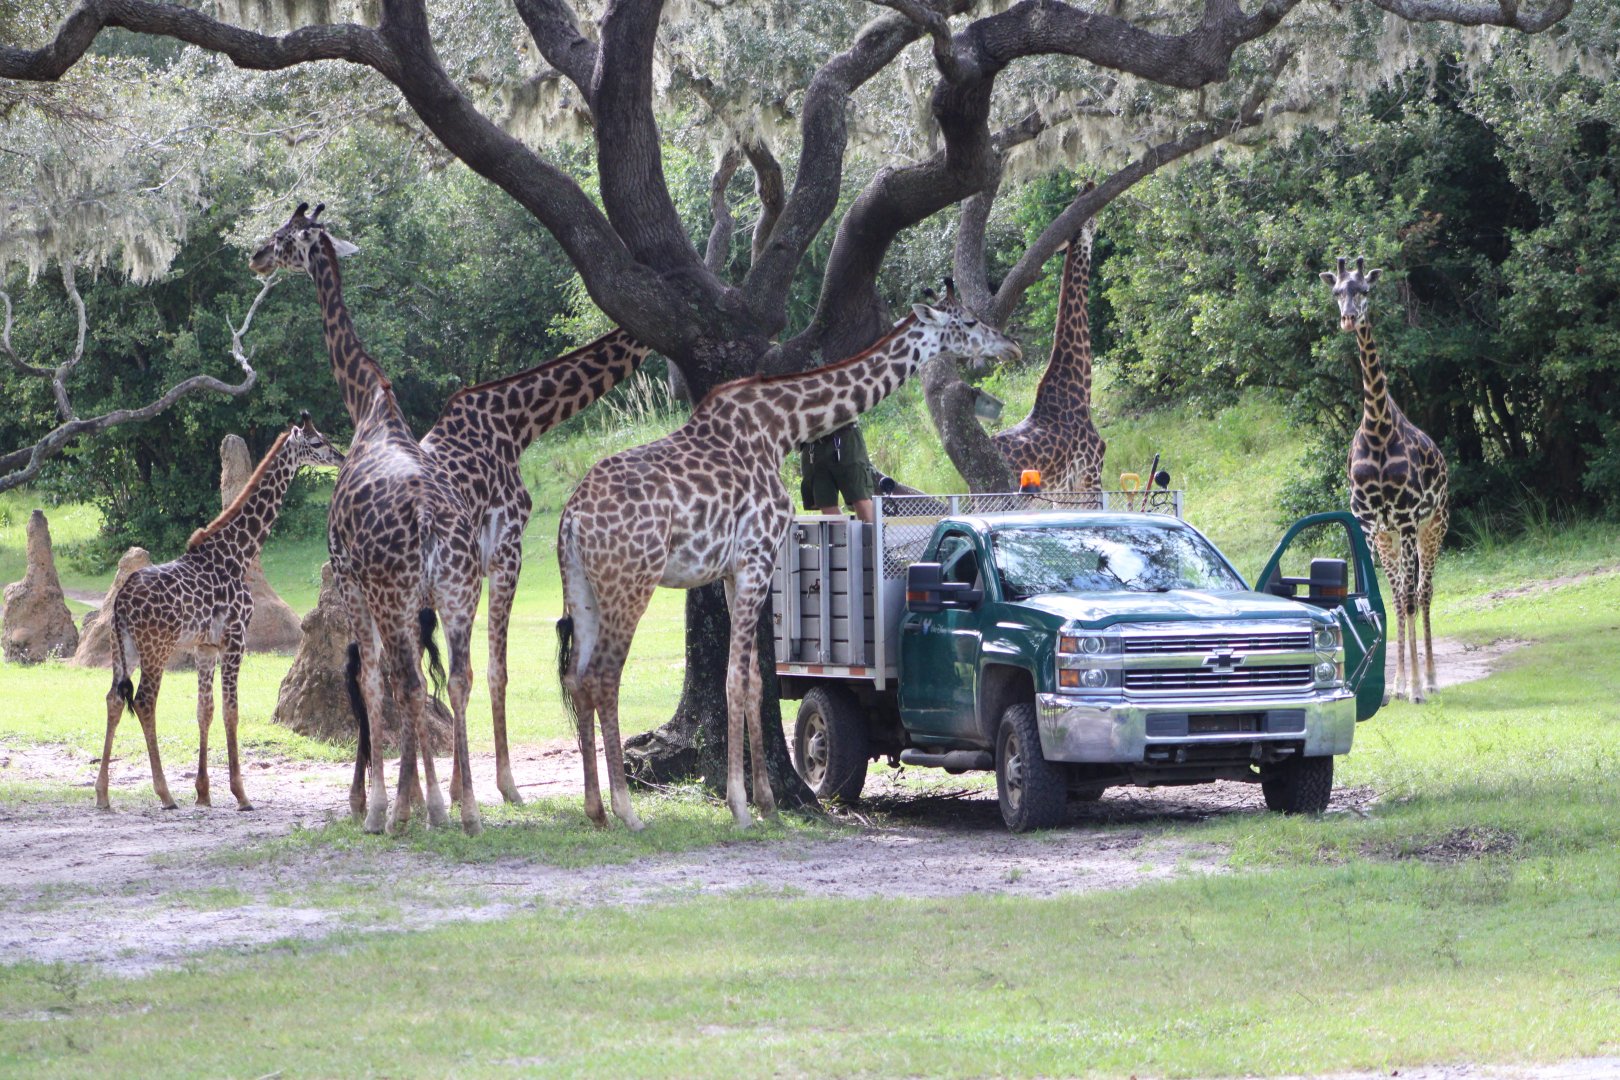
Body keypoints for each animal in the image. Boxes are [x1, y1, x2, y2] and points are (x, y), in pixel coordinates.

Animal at [97, 415, 343, 811]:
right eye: (318, 442)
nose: (340, 456)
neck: (238, 553)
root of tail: (119, 602)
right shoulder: (235, 638)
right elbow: (231, 711)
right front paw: (240, 794)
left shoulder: (205, 647)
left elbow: (205, 711)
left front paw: (203, 792)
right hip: (156, 648)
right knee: (145, 701)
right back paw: (164, 793)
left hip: (124, 648)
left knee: (114, 699)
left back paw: (102, 794)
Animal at [250, 202, 484, 835]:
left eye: (284, 236)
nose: (255, 256)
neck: (367, 404)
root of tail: (430, 524)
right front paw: (411, 801)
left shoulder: (350, 578)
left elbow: (371, 680)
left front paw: (383, 807)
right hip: (458, 593)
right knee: (459, 679)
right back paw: (468, 812)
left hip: (392, 591)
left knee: (404, 681)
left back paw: (418, 809)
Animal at [556, 284, 1022, 830]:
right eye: (967, 322)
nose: (1010, 346)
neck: (782, 428)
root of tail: (570, 517)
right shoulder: (757, 556)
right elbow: (737, 680)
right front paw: (739, 806)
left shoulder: (733, 570)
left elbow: (757, 681)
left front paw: (767, 802)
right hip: (631, 581)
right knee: (605, 676)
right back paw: (627, 812)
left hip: (582, 586)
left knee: (577, 676)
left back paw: (595, 809)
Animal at [1321, 256, 1449, 702]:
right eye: (1337, 291)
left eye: (1365, 290)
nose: (1348, 319)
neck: (1377, 428)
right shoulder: (1371, 523)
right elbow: (1383, 598)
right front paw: (1393, 687)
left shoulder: (1409, 518)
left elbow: (1408, 597)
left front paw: (1415, 688)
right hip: (1392, 535)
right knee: (1403, 594)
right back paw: (1406, 683)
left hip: (1434, 525)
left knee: (1423, 592)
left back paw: (1429, 680)